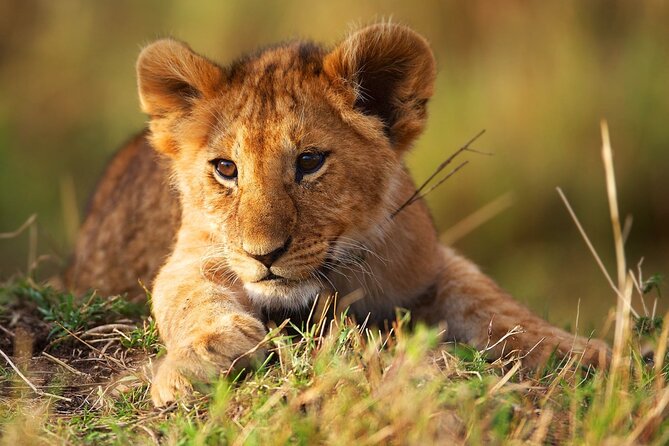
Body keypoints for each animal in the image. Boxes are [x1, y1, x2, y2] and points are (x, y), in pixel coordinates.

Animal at [66, 23, 609, 406]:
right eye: (225, 169)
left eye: (309, 162)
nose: (264, 255)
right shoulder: (193, 252)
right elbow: (189, 296)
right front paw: (197, 359)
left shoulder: (429, 263)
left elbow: (497, 305)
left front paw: (590, 354)